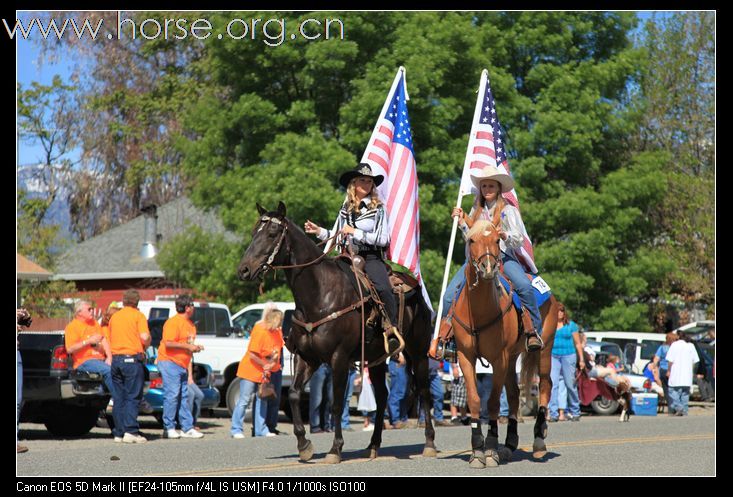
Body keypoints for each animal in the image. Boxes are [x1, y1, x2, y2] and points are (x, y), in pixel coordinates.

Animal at [239, 201, 434, 462]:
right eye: (253, 233)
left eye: (271, 233)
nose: (243, 270)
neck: (319, 295)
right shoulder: (306, 358)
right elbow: (294, 394)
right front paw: (304, 445)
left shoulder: (338, 358)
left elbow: (336, 405)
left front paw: (335, 449)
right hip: (376, 359)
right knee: (382, 396)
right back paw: (373, 445)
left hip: (419, 352)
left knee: (424, 391)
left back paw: (429, 443)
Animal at [448, 216, 556, 464]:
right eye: (471, 240)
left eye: (498, 239)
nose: (488, 268)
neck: (480, 311)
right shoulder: (466, 357)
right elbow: (475, 400)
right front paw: (477, 449)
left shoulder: (499, 358)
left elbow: (493, 402)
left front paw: (489, 448)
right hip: (513, 356)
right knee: (515, 395)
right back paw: (509, 443)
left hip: (544, 349)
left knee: (545, 386)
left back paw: (538, 441)